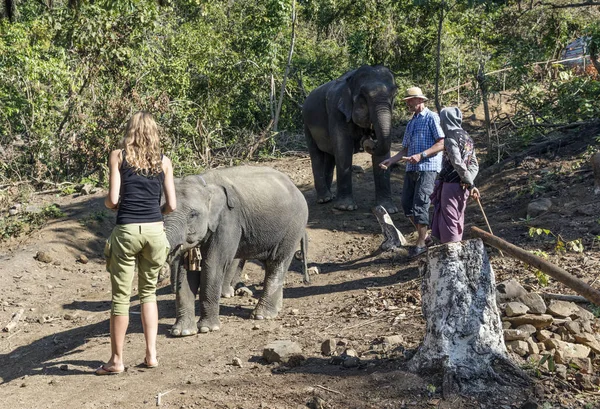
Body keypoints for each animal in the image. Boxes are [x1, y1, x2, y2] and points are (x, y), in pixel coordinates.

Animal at [164, 165, 310, 334]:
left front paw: (207, 328)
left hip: (293, 226)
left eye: (193, 214)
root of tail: (295, 186)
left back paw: (262, 315)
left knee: (277, 261)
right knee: (269, 263)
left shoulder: (228, 220)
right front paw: (182, 332)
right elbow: (185, 272)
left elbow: (213, 265)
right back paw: (276, 309)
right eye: (162, 210)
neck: (204, 182)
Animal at [304, 64, 398, 214]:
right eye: (363, 96)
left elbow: (383, 152)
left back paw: (330, 197)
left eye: (394, 94)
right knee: (316, 155)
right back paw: (324, 199)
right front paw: (345, 208)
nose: (368, 141)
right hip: (306, 125)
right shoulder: (336, 111)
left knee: (330, 156)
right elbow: (343, 149)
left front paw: (388, 209)